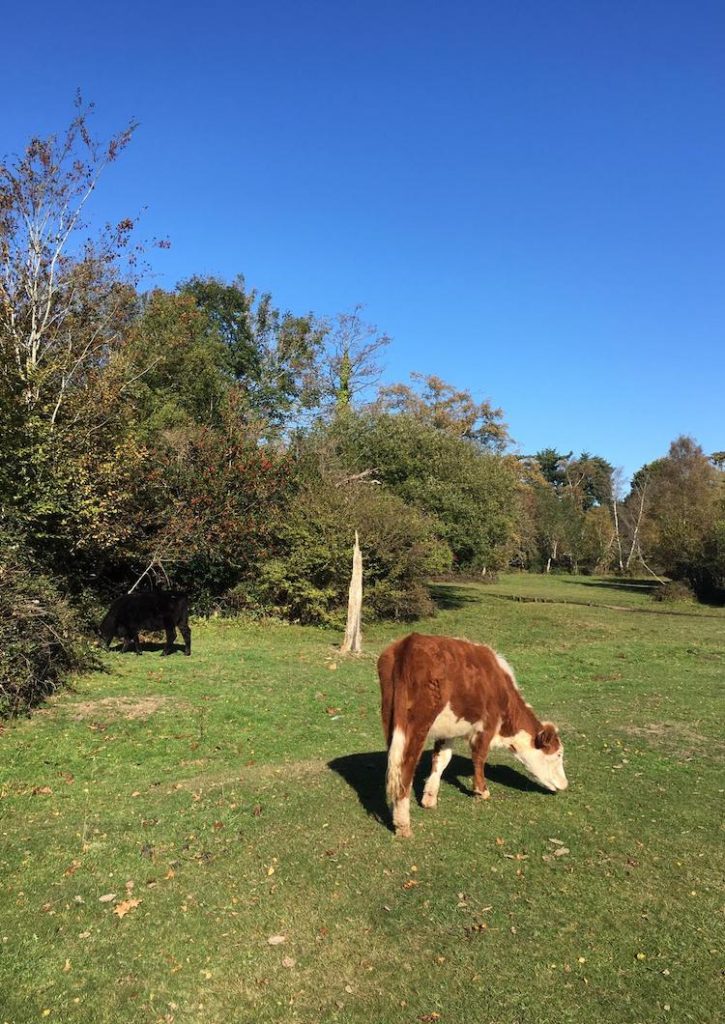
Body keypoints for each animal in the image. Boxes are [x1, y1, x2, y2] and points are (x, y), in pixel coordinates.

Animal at [376, 630, 569, 839]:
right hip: (417, 724)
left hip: (390, 718)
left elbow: (441, 759)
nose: (565, 784)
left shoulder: (447, 730)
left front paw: (429, 798)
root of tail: (410, 642)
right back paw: (403, 824)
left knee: (394, 765)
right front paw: (481, 791)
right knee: (406, 767)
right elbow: (479, 757)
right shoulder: (487, 725)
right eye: (558, 754)